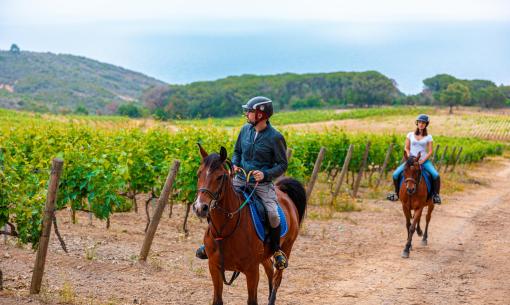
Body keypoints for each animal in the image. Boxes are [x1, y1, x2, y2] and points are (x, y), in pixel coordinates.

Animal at [193, 145, 306, 304]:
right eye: (198, 174)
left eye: (220, 176)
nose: (200, 207)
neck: (225, 230)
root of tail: (282, 192)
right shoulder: (214, 268)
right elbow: (217, 300)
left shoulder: (252, 271)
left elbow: (252, 300)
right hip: (264, 255)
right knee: (270, 269)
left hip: (287, 247)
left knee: (277, 278)